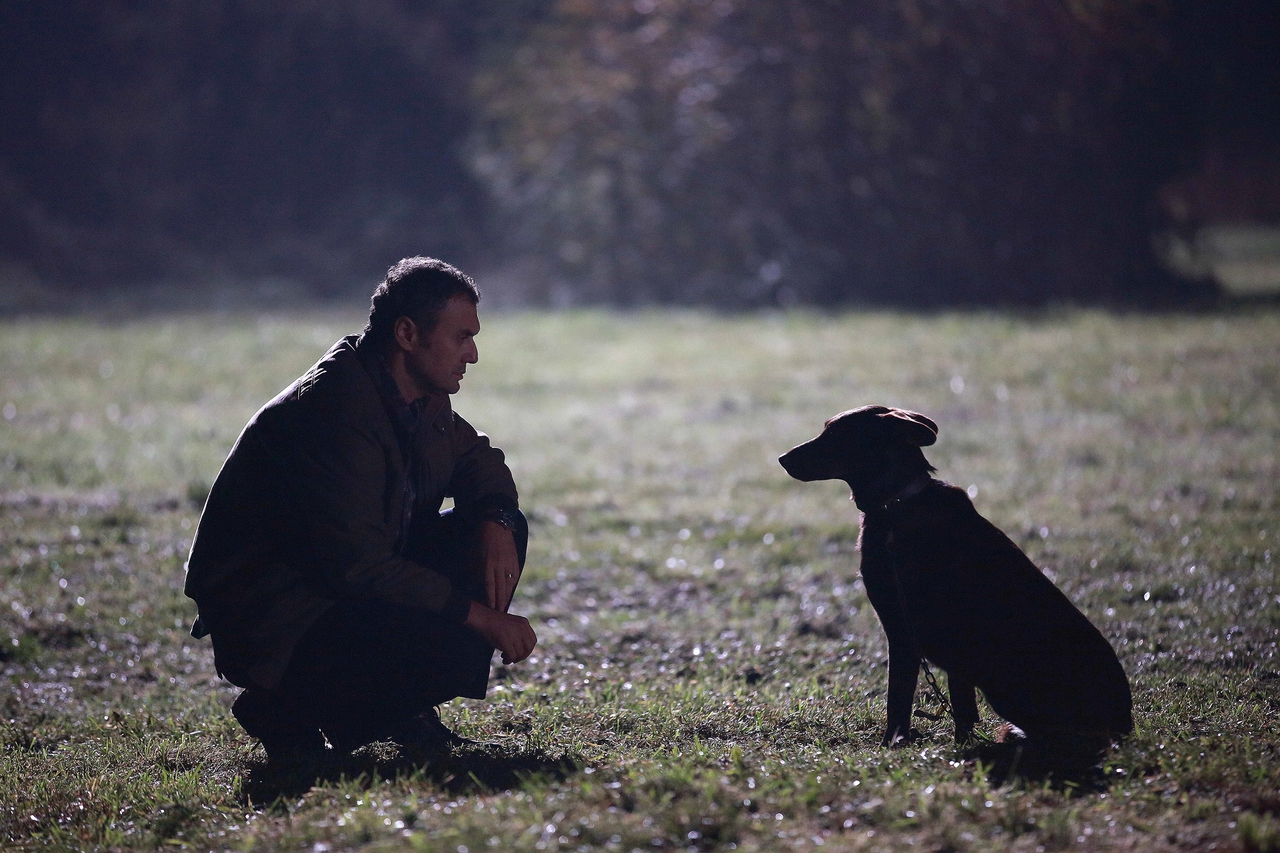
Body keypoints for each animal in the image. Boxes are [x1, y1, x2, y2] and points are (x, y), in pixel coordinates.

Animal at [778, 404, 1131, 742]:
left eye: (835, 435)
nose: (782, 458)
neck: (895, 504)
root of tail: (1124, 722)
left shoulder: (903, 633)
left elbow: (899, 701)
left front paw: (893, 745)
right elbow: (961, 707)